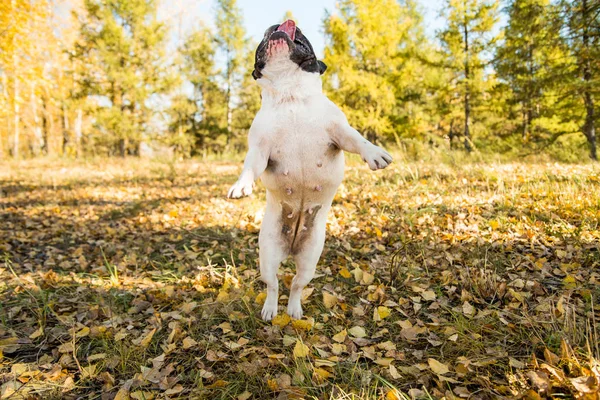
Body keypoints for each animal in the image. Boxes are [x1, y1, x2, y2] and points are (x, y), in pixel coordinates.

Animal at [227, 20, 392, 322]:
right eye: (265, 35)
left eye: (301, 34)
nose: (279, 24)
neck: (290, 93)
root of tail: (292, 249)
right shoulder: (259, 149)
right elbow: (250, 166)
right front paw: (241, 185)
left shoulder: (341, 132)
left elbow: (359, 140)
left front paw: (375, 154)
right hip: (267, 254)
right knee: (274, 283)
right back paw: (271, 309)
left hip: (310, 258)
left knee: (296, 284)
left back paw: (293, 309)